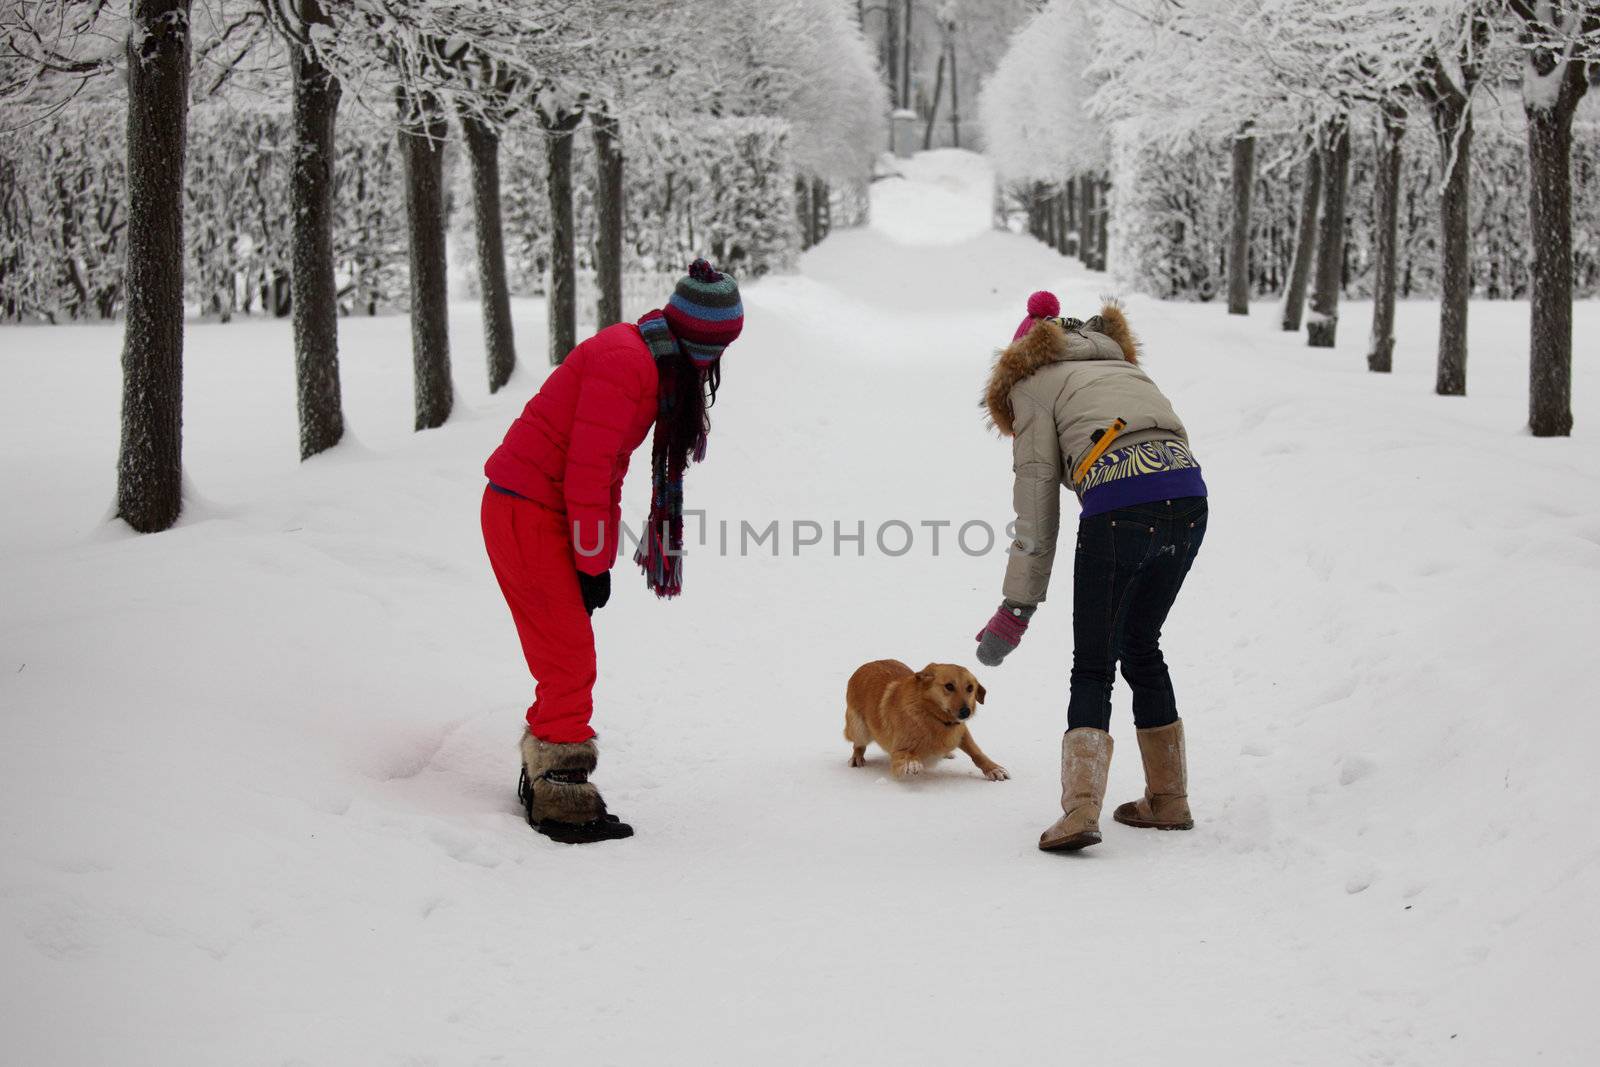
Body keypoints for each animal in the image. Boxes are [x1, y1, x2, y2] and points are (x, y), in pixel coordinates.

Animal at [844, 662, 1004, 780]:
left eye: (970, 688)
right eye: (949, 686)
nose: (966, 712)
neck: (932, 716)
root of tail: (864, 666)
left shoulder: (962, 731)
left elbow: (976, 751)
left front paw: (993, 768)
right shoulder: (897, 752)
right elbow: (907, 754)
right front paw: (912, 762)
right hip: (860, 729)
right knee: (858, 744)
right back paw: (857, 757)